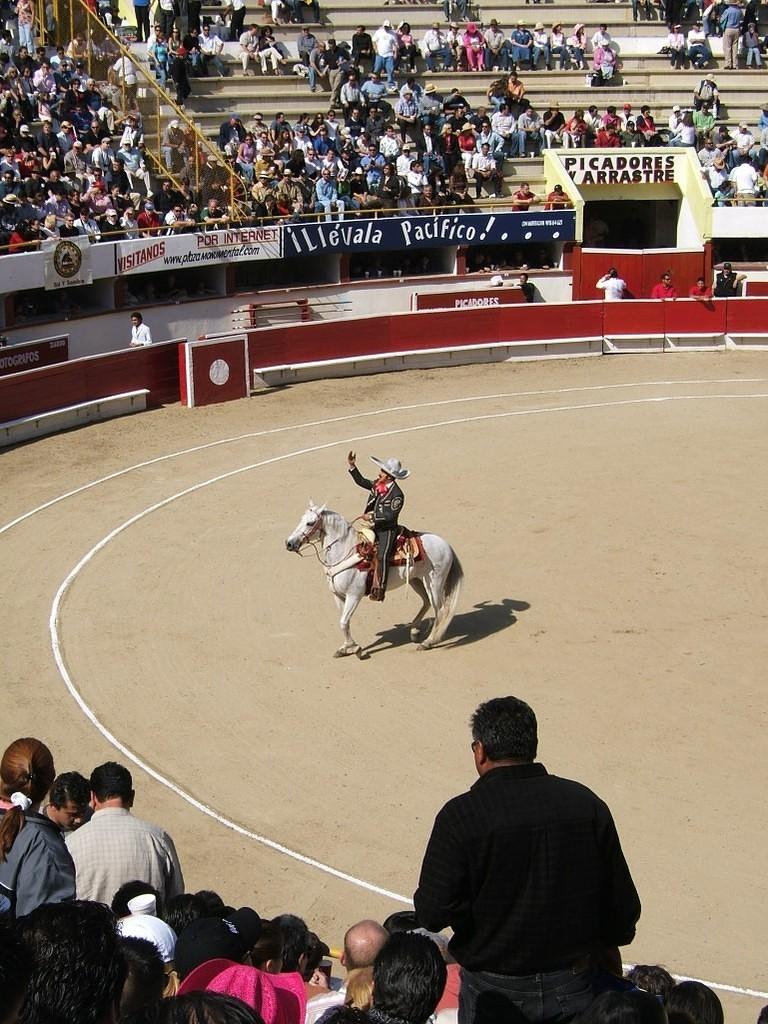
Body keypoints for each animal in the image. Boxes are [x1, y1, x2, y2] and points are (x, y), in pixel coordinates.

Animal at [286, 501, 462, 659]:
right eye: (301, 518)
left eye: (310, 523)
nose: (289, 543)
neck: (346, 551)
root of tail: (446, 545)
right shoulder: (338, 596)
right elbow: (344, 622)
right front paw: (346, 648)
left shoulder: (354, 595)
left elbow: (343, 622)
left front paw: (356, 649)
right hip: (416, 581)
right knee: (426, 602)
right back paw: (414, 631)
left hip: (434, 583)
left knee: (440, 610)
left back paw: (428, 642)